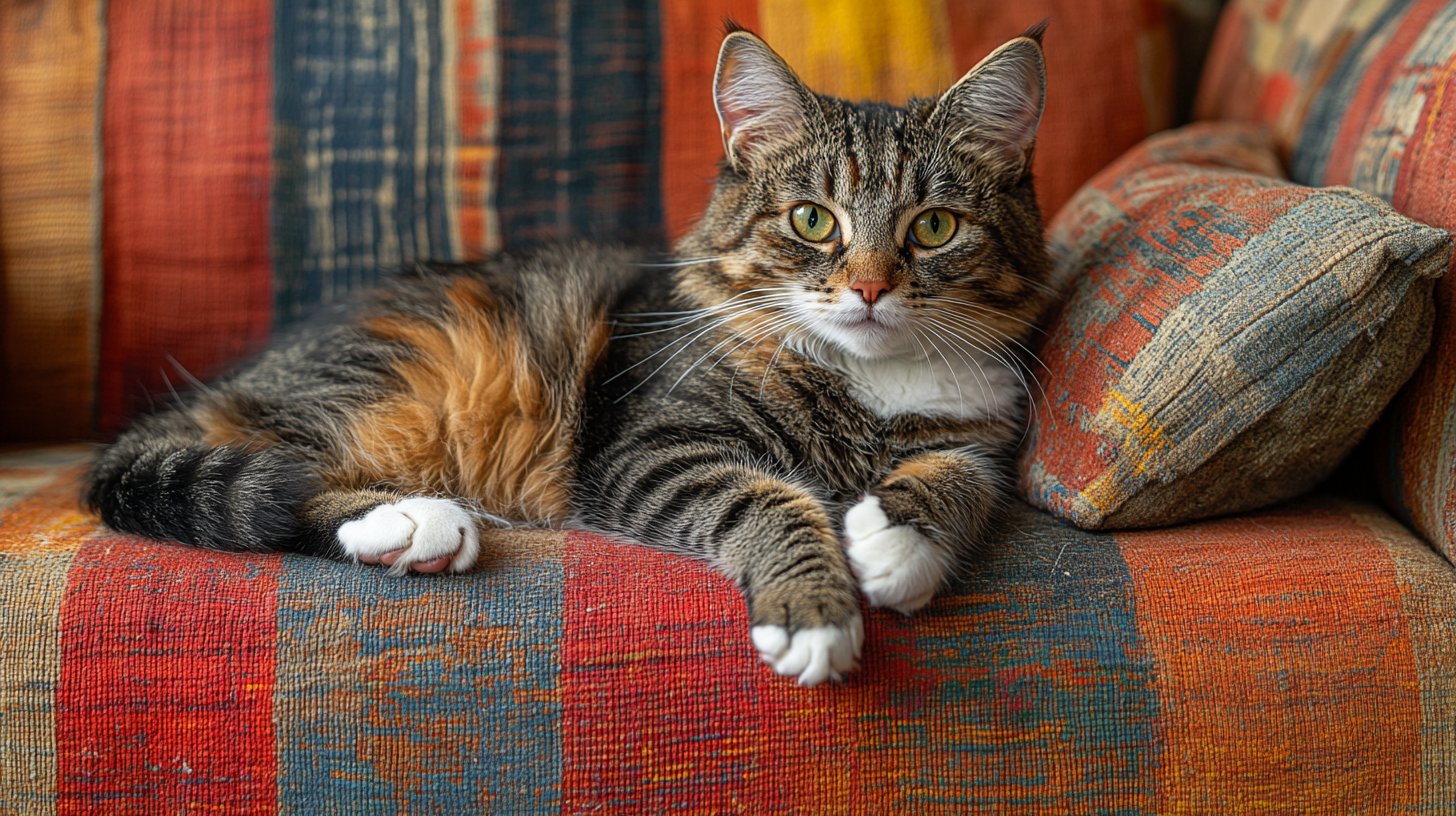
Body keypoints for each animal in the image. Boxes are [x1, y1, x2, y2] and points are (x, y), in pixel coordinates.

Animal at [85, 25, 1054, 684]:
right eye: (813, 221)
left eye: (934, 228)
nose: (870, 289)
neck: (866, 379)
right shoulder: (653, 449)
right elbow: (770, 502)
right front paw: (815, 613)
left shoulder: (984, 429)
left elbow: (960, 480)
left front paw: (896, 542)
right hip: (398, 385)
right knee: (285, 473)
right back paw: (410, 519)